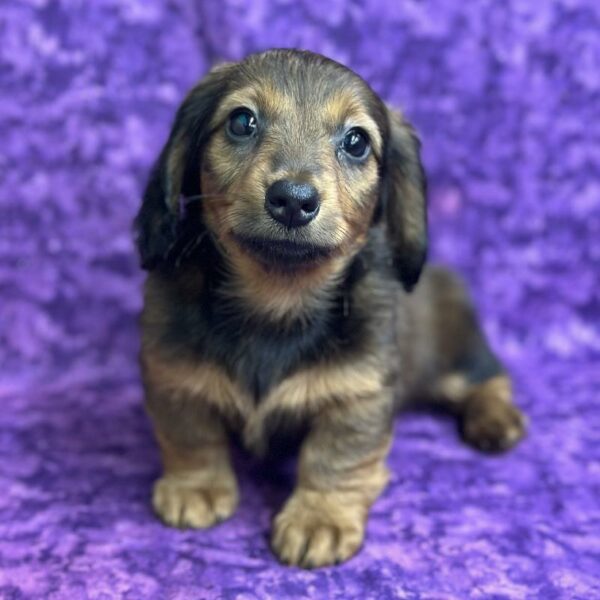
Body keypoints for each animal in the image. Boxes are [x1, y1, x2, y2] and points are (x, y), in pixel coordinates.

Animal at [132, 48, 524, 568]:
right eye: (241, 121)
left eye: (356, 142)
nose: (292, 201)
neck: (276, 299)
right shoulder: (171, 370)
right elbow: (190, 432)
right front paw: (194, 487)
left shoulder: (358, 393)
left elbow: (335, 458)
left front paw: (319, 519)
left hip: (457, 353)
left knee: (488, 380)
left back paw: (495, 419)